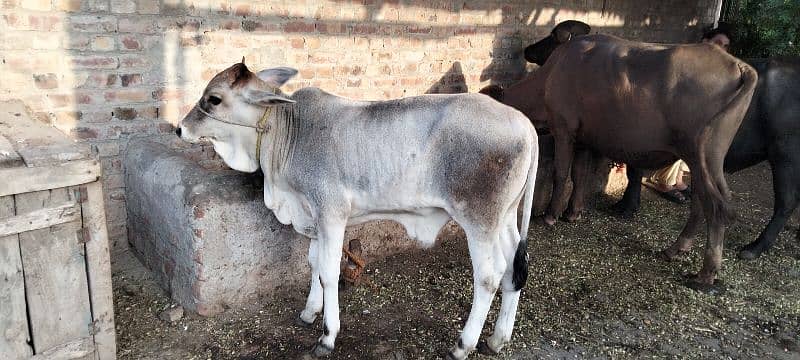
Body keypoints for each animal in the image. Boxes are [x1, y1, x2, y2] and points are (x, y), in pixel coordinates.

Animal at [484, 32, 752, 288]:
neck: (553, 72)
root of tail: (737, 64)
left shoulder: (563, 128)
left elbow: (561, 173)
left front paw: (551, 215)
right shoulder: (584, 138)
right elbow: (579, 175)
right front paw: (573, 212)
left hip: (700, 155)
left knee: (715, 207)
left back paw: (706, 273)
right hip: (706, 161)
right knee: (702, 202)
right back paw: (677, 248)